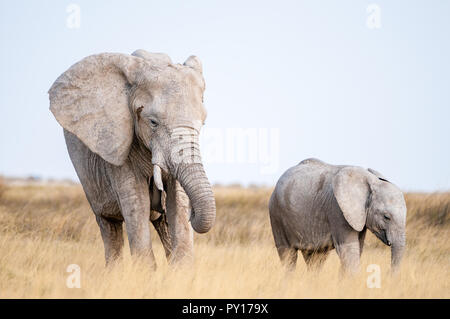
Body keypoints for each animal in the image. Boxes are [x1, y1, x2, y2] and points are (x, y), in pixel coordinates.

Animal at [48, 50, 216, 270]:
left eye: (203, 123)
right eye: (153, 122)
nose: (193, 213)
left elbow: (177, 203)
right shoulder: (118, 143)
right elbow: (138, 204)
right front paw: (145, 274)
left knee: (163, 224)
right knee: (109, 225)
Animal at [270, 159, 408, 274]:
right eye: (386, 217)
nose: (387, 273)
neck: (370, 180)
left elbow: (356, 249)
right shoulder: (338, 210)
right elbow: (348, 250)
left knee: (315, 258)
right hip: (276, 215)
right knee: (288, 255)